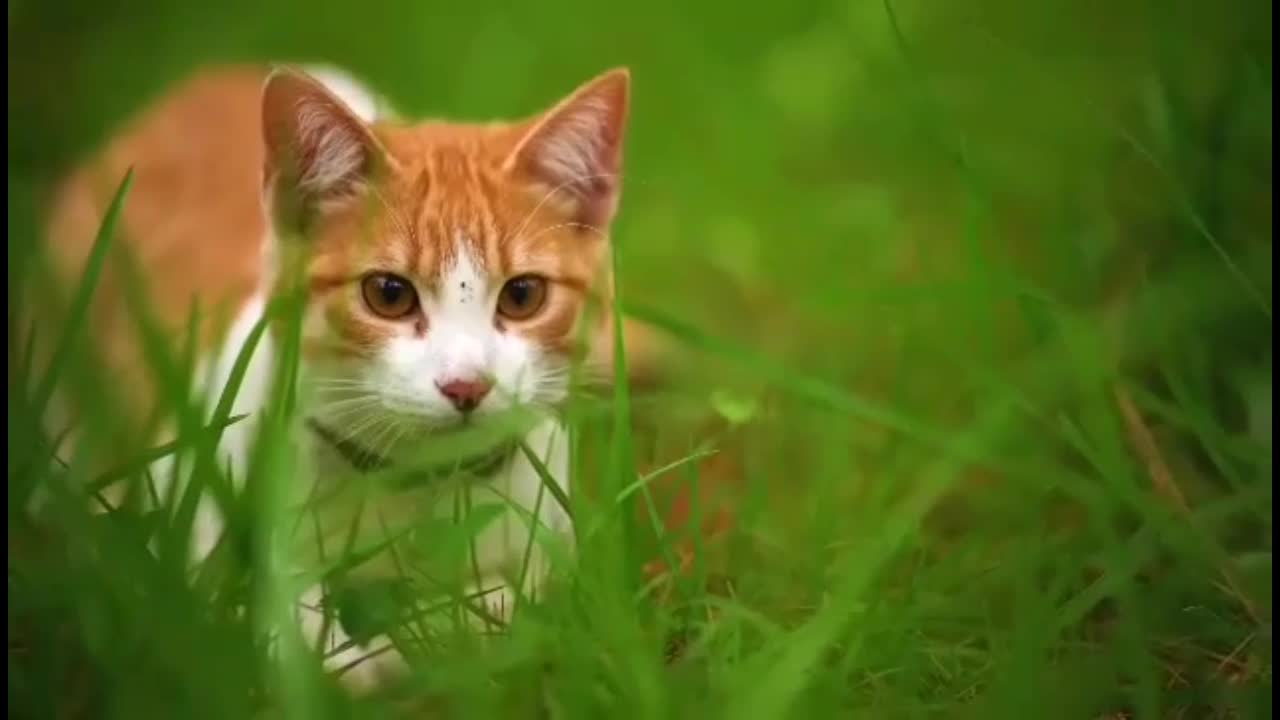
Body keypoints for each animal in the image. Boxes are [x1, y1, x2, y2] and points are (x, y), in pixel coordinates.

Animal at [35, 67, 640, 691]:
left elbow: (510, 610)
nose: (466, 386)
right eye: (389, 294)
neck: (412, 489)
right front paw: (358, 658)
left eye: (522, 296)